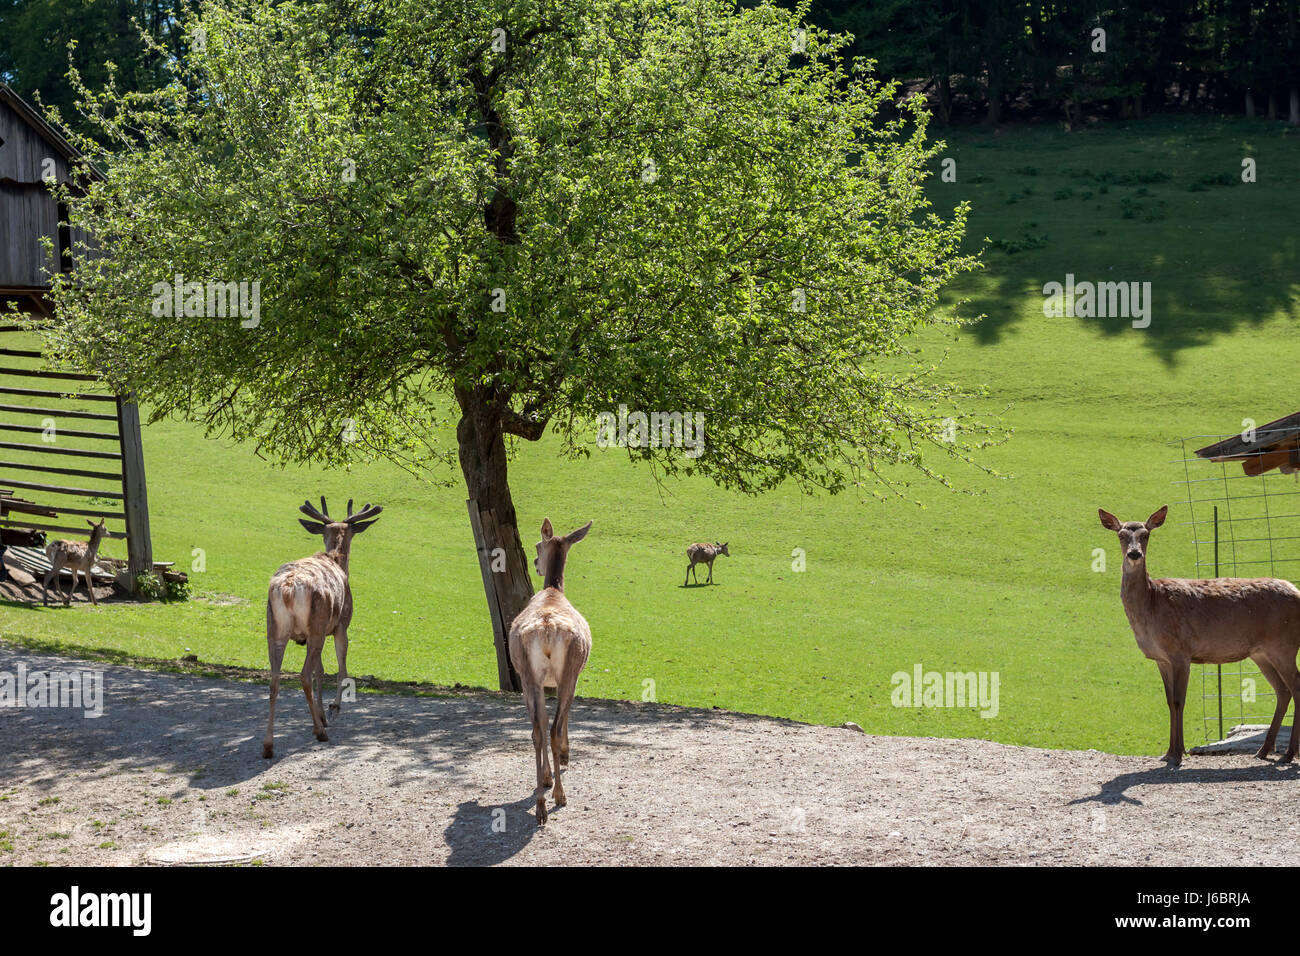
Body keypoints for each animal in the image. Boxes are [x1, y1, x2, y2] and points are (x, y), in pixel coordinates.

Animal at [262, 497, 381, 759]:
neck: (335, 559)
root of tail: (288, 588)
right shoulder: (341, 624)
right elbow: (340, 668)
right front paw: (333, 708)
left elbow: (321, 670)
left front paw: (322, 715)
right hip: (317, 624)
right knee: (304, 675)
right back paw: (320, 733)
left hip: (274, 628)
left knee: (274, 679)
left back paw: (268, 745)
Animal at [509, 518, 593, 825]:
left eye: (537, 546)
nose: (535, 562)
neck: (555, 593)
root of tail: (546, 628)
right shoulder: (573, 675)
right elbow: (564, 715)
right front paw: (565, 758)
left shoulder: (536, 680)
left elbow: (542, 721)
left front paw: (545, 776)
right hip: (568, 667)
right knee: (554, 727)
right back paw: (559, 795)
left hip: (527, 672)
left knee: (537, 728)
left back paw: (541, 804)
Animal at [1099, 505, 1300, 767]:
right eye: (1121, 535)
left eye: (1146, 535)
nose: (1134, 554)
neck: (1151, 604)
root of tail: (1297, 592)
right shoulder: (1161, 658)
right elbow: (1169, 702)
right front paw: (1168, 752)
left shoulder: (1181, 652)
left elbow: (1179, 701)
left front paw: (1177, 754)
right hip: (1262, 653)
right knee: (1283, 691)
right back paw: (1264, 750)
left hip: (1284, 645)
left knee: (1296, 688)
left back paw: (1288, 754)